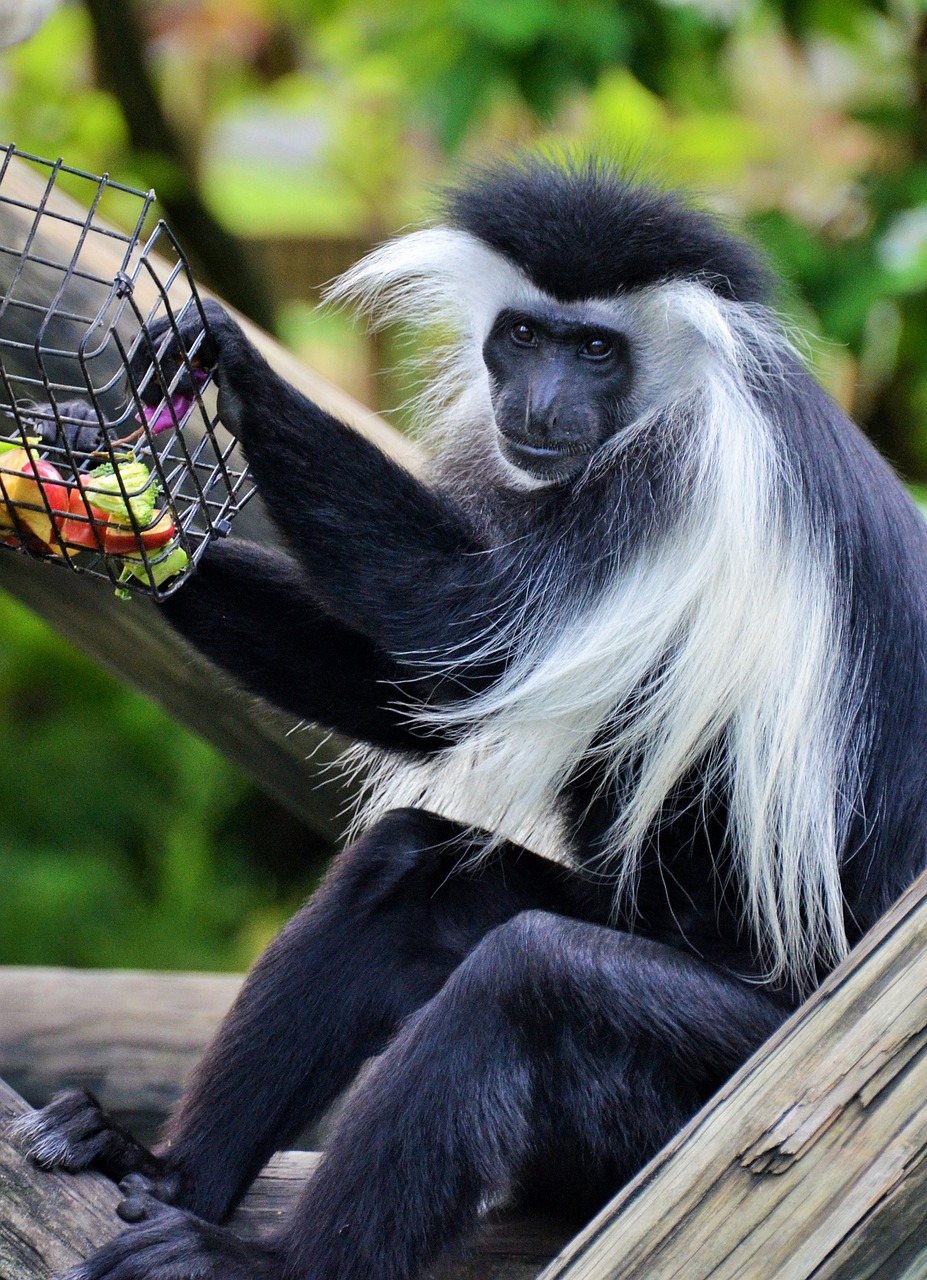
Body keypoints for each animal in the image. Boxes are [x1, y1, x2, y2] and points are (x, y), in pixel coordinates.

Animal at [12, 157, 926, 1280]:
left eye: (595, 349)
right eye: (524, 335)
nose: (537, 401)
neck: (680, 394)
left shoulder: (675, 487)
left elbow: (472, 630)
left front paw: (227, 359)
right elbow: (427, 689)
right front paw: (88, 486)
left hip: (724, 1076)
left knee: (536, 980)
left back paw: (263, 1261)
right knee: (406, 874)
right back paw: (152, 1169)